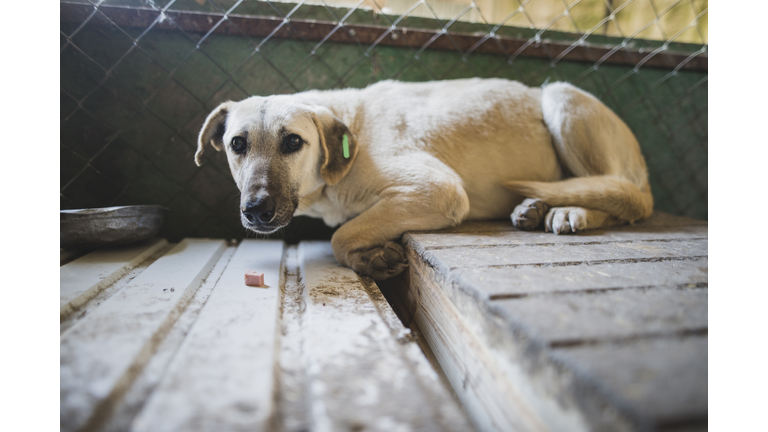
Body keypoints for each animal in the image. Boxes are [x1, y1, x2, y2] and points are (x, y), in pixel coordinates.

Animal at [195, 77, 652, 280]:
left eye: (293, 142)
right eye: (237, 144)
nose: (256, 210)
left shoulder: (439, 191)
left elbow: (341, 237)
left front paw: (370, 258)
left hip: (561, 98)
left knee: (625, 195)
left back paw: (572, 210)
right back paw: (535, 207)